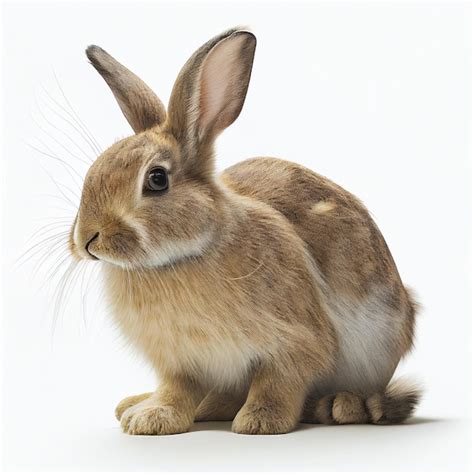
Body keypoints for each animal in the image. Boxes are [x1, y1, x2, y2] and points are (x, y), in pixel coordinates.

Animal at [68, 25, 420, 434]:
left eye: (156, 179)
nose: (87, 239)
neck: (185, 255)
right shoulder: (179, 362)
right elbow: (176, 389)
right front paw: (153, 418)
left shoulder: (294, 342)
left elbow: (277, 381)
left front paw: (259, 422)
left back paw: (341, 405)